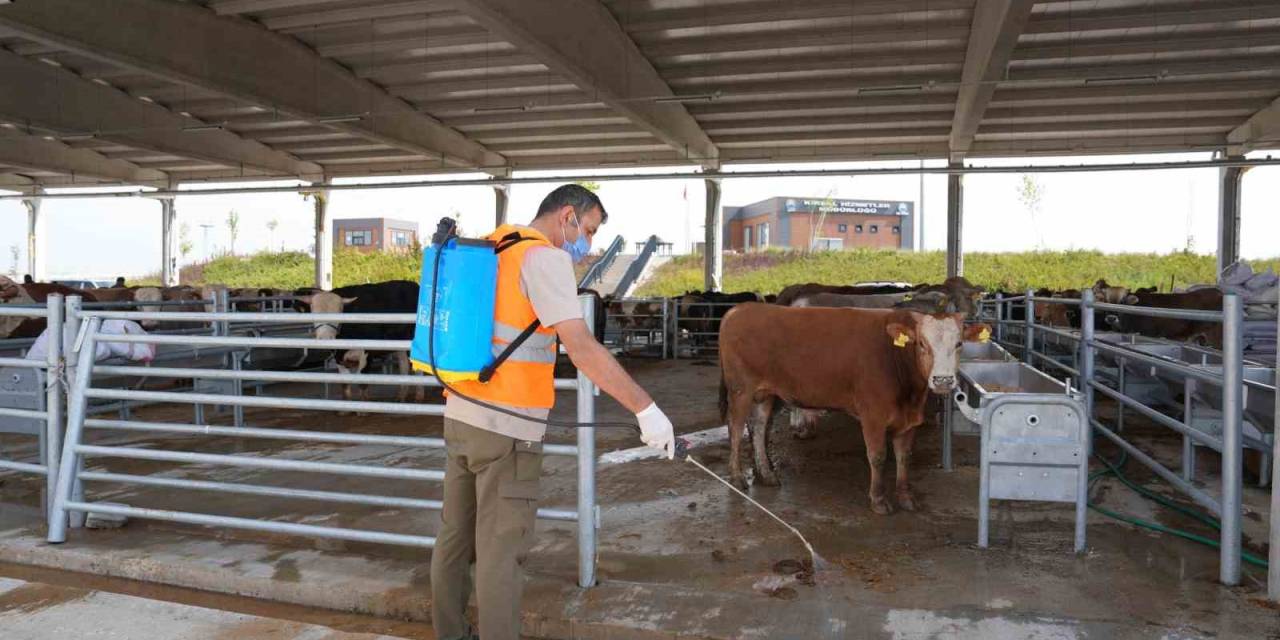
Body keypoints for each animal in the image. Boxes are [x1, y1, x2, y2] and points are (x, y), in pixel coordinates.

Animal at [721, 304, 988, 514]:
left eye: (959, 343)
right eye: (922, 343)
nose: (943, 380)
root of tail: (739, 309)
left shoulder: (909, 420)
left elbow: (904, 457)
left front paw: (905, 497)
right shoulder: (873, 416)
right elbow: (878, 456)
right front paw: (878, 500)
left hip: (765, 394)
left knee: (757, 427)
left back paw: (766, 474)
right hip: (740, 390)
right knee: (735, 428)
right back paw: (737, 476)